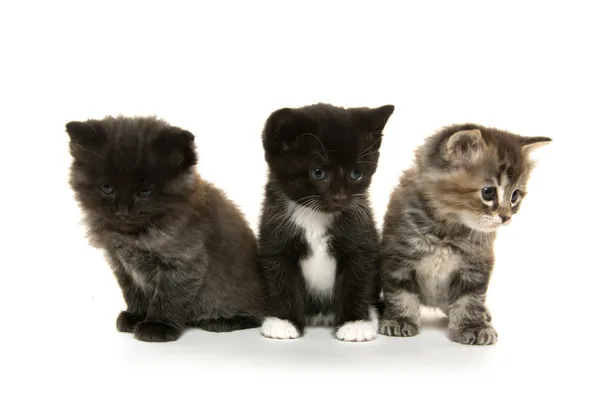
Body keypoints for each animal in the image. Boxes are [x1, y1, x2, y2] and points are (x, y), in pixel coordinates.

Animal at [256, 104, 394, 344]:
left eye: (356, 173)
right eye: (318, 172)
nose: (340, 197)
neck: (315, 217)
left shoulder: (361, 237)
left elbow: (357, 279)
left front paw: (355, 323)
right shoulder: (275, 238)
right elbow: (281, 277)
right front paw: (283, 321)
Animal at [382, 124, 552, 346]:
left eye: (515, 195)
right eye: (488, 192)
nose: (506, 217)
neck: (447, 229)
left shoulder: (475, 266)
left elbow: (469, 299)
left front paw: (473, 327)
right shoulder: (399, 256)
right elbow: (401, 293)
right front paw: (399, 319)